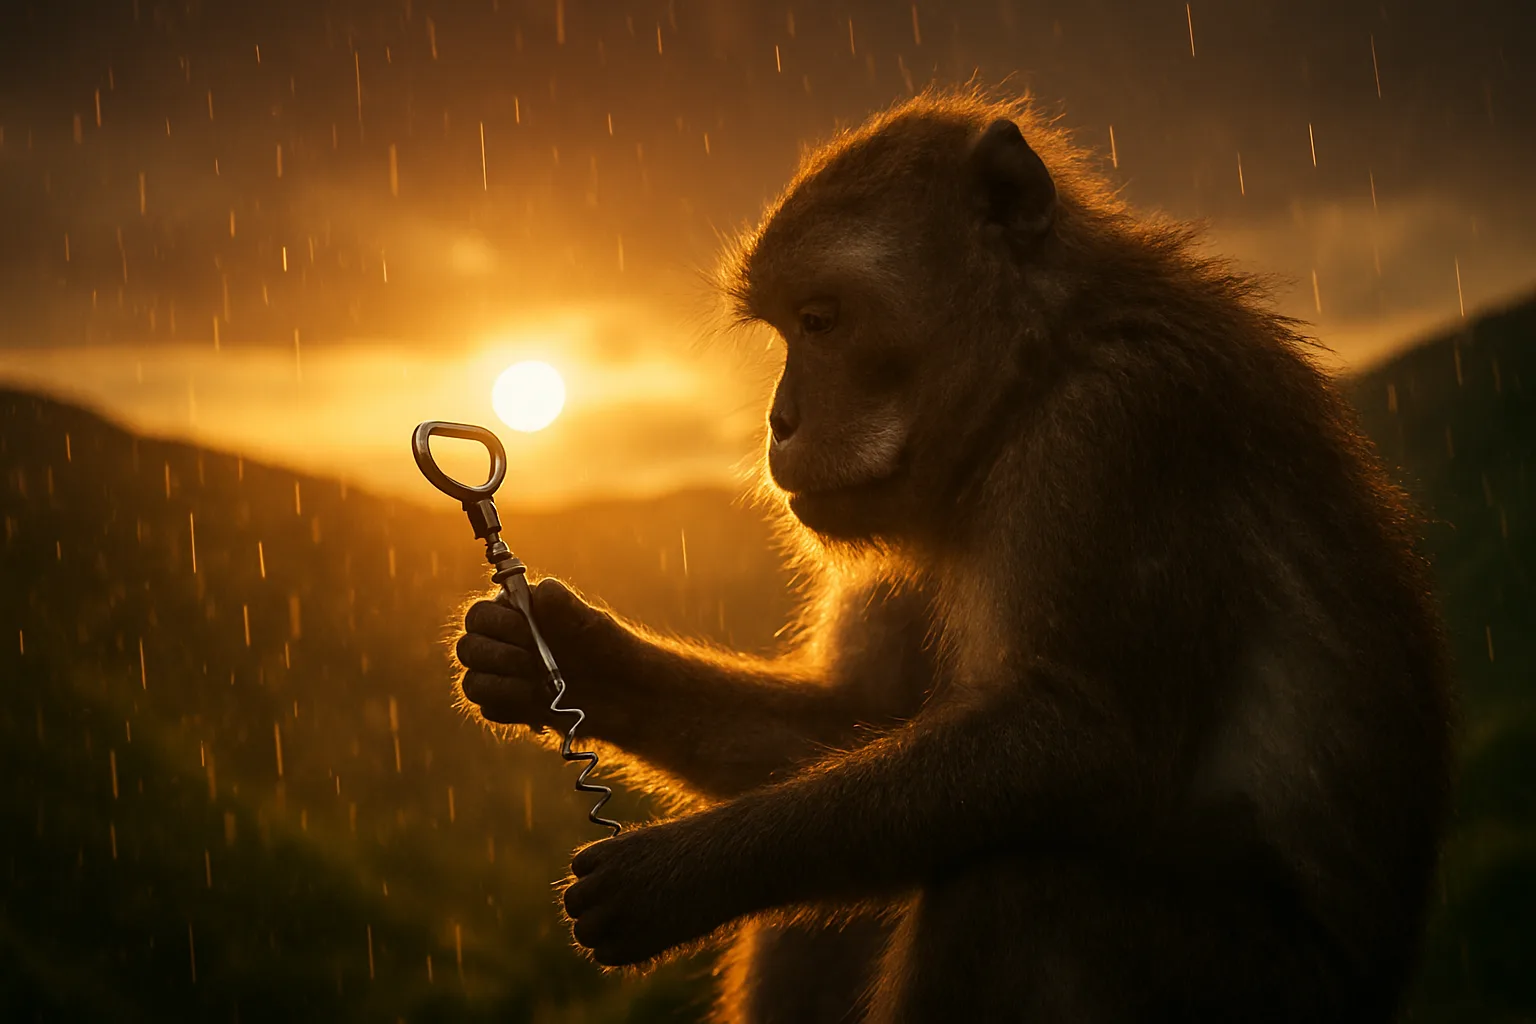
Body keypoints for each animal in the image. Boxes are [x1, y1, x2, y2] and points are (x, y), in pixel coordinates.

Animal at [452, 88, 1454, 1023]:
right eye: (787, 329)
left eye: (821, 320)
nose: (779, 421)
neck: (1036, 375)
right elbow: (863, 717)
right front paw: (567, 655)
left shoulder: (1122, 424)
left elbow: (1079, 734)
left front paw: (683, 874)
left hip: (1255, 983)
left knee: (1024, 889)